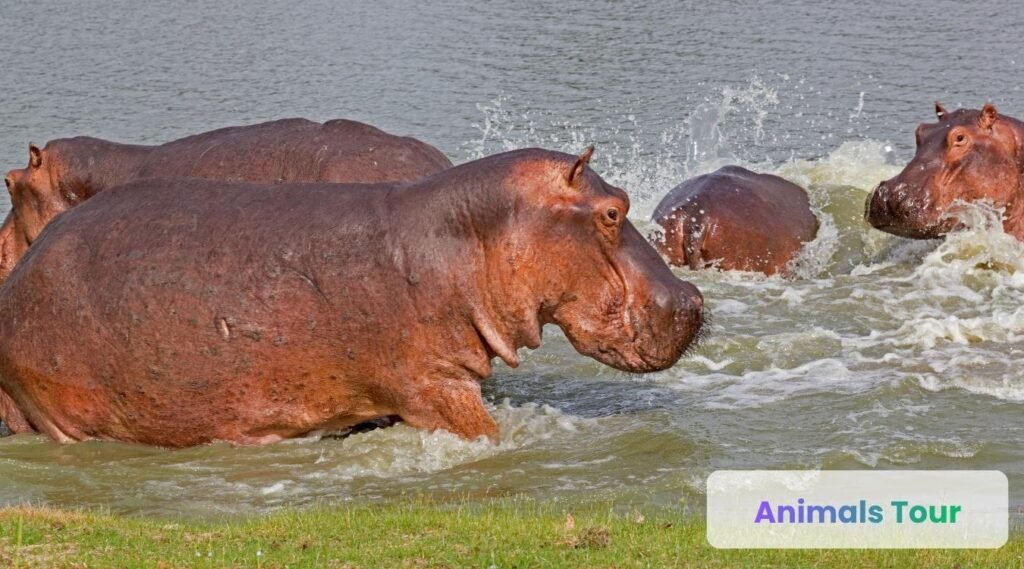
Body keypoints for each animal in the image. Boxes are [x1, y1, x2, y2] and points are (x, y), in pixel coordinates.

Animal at [0, 147, 704, 447]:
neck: (469, 235)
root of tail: (18, 280)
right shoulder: (434, 386)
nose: (694, 299)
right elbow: (486, 432)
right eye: (613, 212)